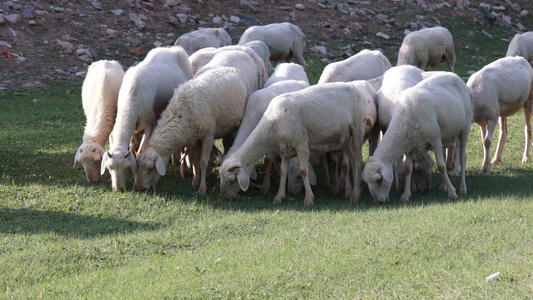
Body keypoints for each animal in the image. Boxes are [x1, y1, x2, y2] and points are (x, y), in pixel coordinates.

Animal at [101, 45, 192, 191]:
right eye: (109, 167)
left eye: (126, 168)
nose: (118, 189)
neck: (131, 100)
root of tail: (171, 48)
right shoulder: (133, 130)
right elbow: (132, 149)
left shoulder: (149, 125)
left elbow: (139, 153)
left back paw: (182, 169)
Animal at [133, 67, 249, 195]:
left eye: (151, 168)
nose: (138, 188)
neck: (180, 113)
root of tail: (233, 68)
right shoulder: (195, 138)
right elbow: (195, 160)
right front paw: (195, 181)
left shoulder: (208, 134)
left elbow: (203, 162)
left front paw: (202, 189)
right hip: (227, 127)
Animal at [218, 81, 372, 205]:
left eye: (232, 180)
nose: (224, 197)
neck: (271, 126)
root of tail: (356, 87)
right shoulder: (284, 150)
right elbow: (283, 172)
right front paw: (279, 197)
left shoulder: (301, 143)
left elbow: (303, 171)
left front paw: (309, 199)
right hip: (345, 137)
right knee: (353, 161)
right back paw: (357, 191)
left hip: (358, 127)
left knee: (358, 160)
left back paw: (354, 196)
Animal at [222, 62, 310, 195]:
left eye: (232, 180)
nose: (224, 197)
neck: (253, 112)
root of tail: (292, 63)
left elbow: (268, 160)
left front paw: (266, 186)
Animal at [362, 72, 470, 203]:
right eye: (367, 182)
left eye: (379, 180)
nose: (379, 201)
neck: (404, 119)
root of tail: (453, 75)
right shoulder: (411, 146)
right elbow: (408, 168)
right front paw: (405, 195)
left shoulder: (435, 139)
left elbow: (441, 166)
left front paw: (452, 193)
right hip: (446, 134)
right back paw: (443, 186)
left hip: (465, 127)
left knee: (462, 157)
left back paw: (463, 188)